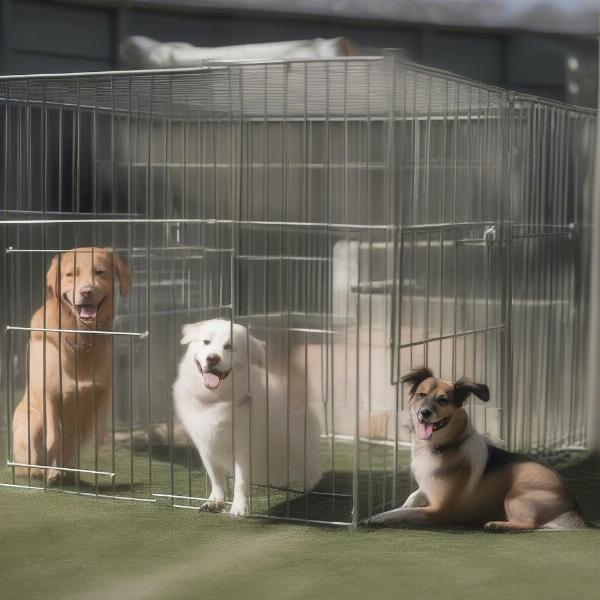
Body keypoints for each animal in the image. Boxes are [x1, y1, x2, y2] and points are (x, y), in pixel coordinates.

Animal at [11, 248, 130, 482]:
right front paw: (53, 473)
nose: (86, 292)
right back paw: (40, 472)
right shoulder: (50, 395)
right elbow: (54, 437)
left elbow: (94, 436)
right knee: (30, 460)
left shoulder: (101, 394)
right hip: (32, 421)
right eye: (69, 275)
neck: (79, 340)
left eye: (100, 272)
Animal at [173, 318, 324, 516]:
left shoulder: (244, 446)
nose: (212, 358)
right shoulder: (205, 445)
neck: (217, 399)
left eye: (229, 346)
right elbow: (216, 477)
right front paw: (215, 502)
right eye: (206, 342)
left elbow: (241, 480)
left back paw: (310, 486)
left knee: (312, 467)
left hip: (297, 444)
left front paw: (239, 507)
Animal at [370, 366, 584, 528]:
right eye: (420, 395)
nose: (424, 413)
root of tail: (574, 508)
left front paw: (377, 517)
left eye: (443, 400)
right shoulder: (426, 487)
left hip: (515, 495)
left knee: (530, 525)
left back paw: (497, 525)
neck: (445, 445)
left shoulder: (438, 511)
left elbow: (405, 512)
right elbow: (411, 499)